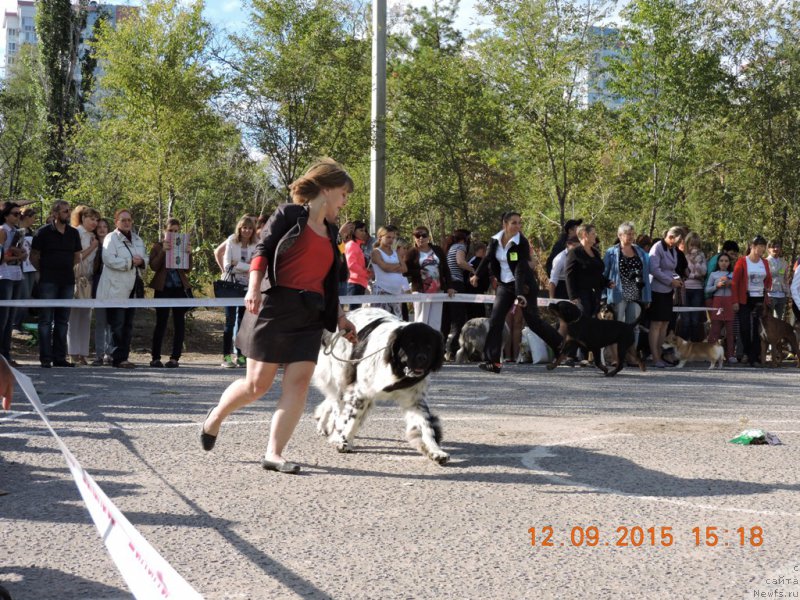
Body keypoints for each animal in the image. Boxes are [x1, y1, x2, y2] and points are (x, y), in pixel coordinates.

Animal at [312, 308, 450, 466]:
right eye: (410, 344)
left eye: (429, 346)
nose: (422, 358)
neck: (395, 369)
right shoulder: (361, 393)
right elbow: (353, 419)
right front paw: (344, 442)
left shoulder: (415, 400)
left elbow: (426, 426)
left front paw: (436, 451)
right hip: (341, 377)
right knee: (337, 404)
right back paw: (335, 431)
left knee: (331, 401)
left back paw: (323, 424)